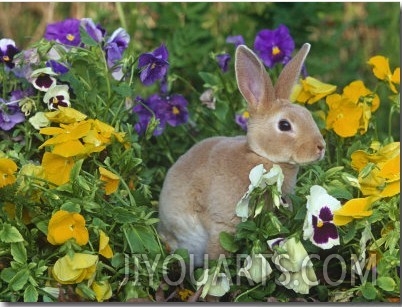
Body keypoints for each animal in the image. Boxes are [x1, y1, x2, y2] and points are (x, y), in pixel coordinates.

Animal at [158, 42, 326, 268]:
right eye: (284, 125)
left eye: (308, 115)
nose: (320, 147)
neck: (262, 157)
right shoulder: (222, 224)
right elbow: (218, 251)